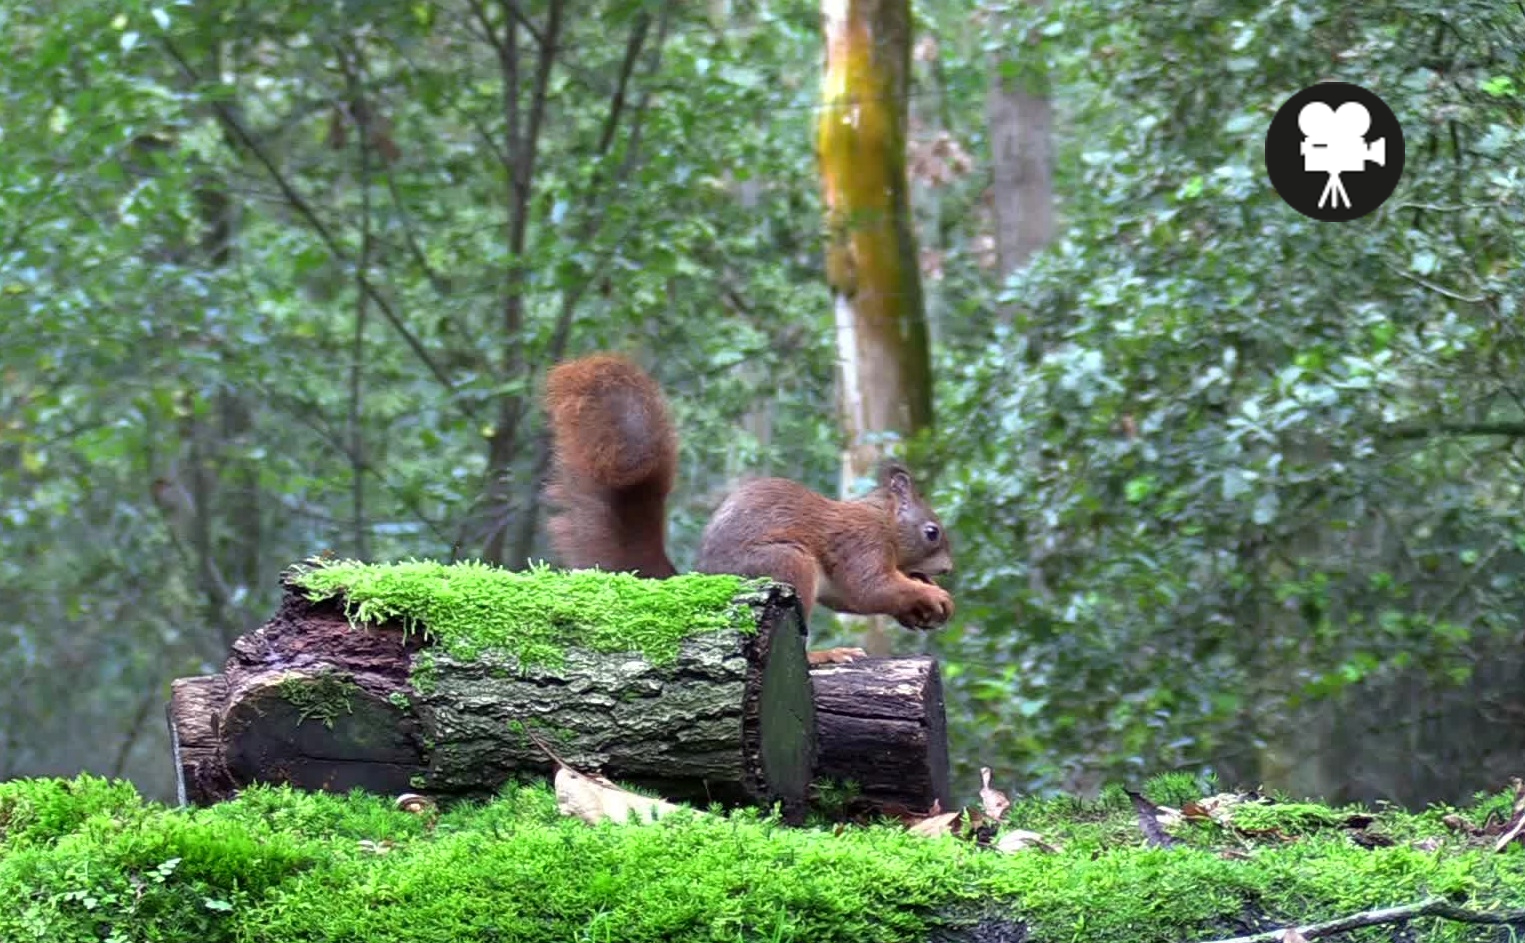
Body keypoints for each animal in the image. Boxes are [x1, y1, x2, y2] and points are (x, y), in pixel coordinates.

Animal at [542, 349, 951, 656]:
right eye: (932, 532)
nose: (947, 569)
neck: (884, 521)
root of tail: (704, 579)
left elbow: (853, 599)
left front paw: (919, 609)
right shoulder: (861, 543)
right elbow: (871, 588)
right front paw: (931, 593)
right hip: (786, 564)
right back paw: (825, 656)